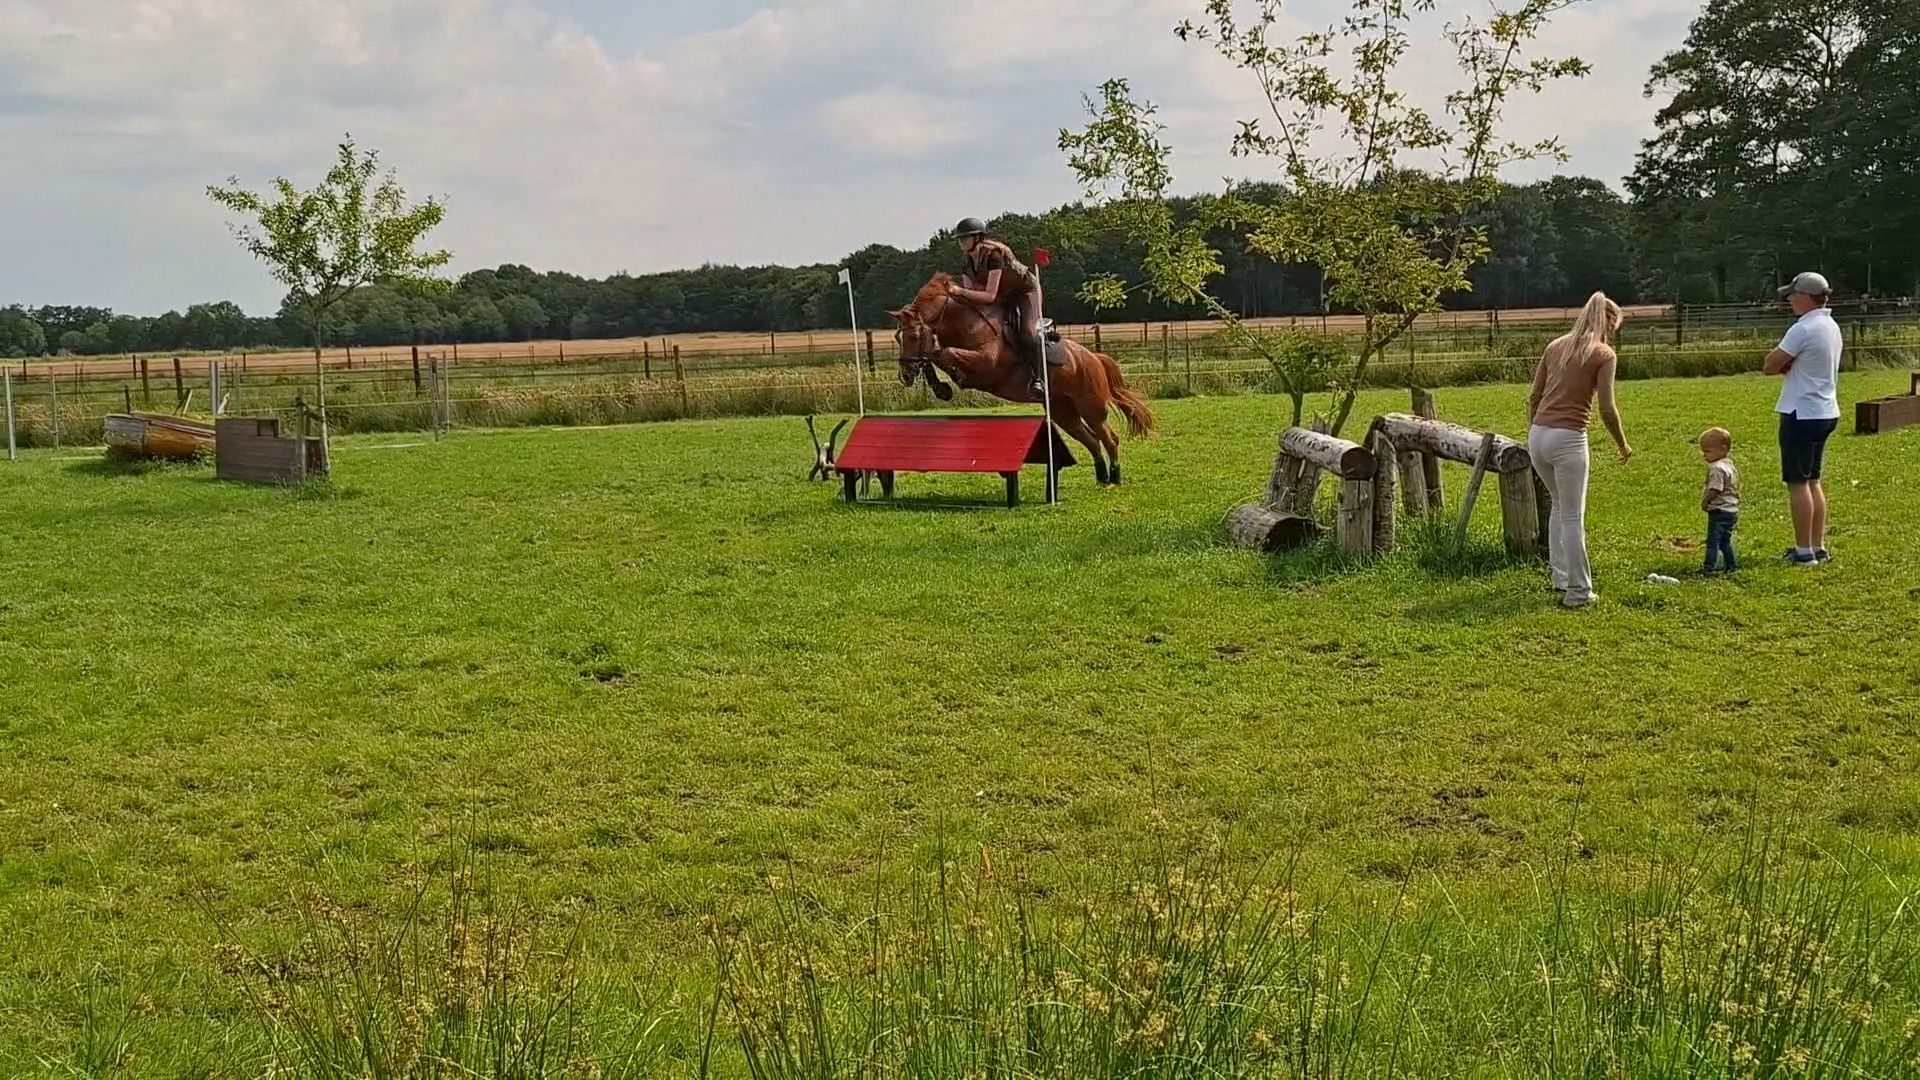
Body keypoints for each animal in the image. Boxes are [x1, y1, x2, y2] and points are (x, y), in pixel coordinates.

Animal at [887, 273, 1154, 485]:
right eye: (898, 337)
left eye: (913, 337)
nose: (905, 375)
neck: (965, 324)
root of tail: (1093, 357)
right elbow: (936, 354)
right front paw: (941, 388)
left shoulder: (988, 365)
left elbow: (945, 352)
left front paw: (952, 378)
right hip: (1063, 412)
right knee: (1092, 440)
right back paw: (1102, 478)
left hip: (1091, 407)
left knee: (1109, 438)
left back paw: (1115, 478)